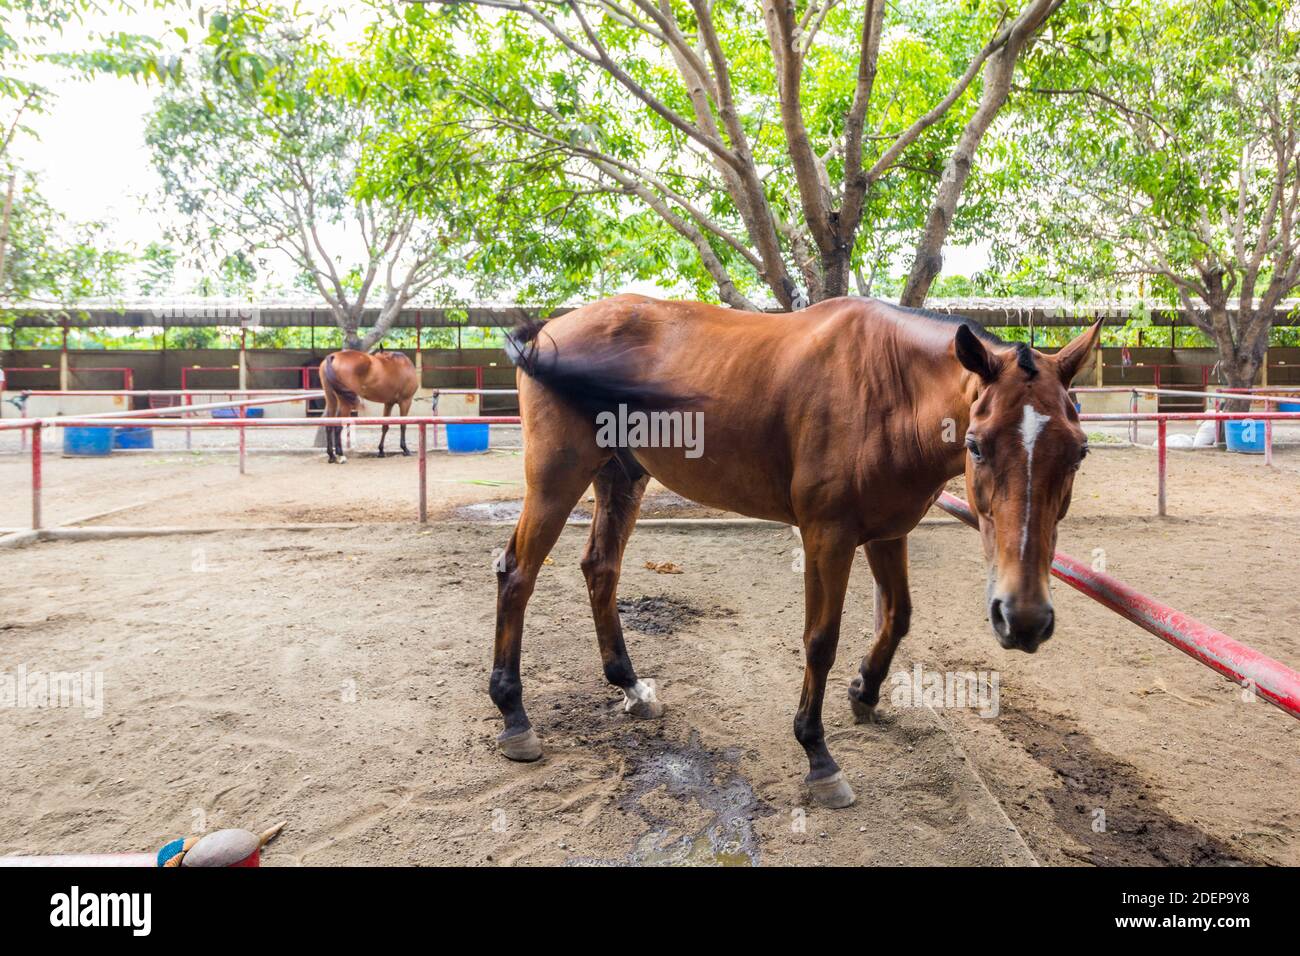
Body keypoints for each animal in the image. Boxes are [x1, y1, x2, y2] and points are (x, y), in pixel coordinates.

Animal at [491, 294, 1101, 808]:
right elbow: (820, 641)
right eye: (976, 445)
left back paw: (631, 686)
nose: (1023, 619)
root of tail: (552, 327)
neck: (887, 386)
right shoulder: (827, 537)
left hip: (622, 474)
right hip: (556, 479)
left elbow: (897, 616)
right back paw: (514, 716)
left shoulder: (887, 532)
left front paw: (865, 691)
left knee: (601, 568)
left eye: (1078, 452)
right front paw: (818, 755)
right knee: (517, 573)